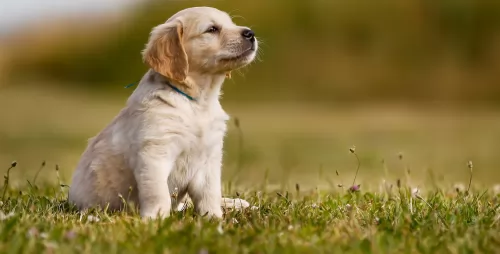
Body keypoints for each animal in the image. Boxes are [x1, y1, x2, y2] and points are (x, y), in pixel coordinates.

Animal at [68, 6, 258, 219]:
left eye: (231, 23)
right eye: (212, 29)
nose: (250, 33)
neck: (197, 102)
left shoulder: (209, 158)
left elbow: (210, 194)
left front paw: (213, 218)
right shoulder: (155, 154)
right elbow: (158, 194)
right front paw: (155, 219)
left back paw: (239, 203)